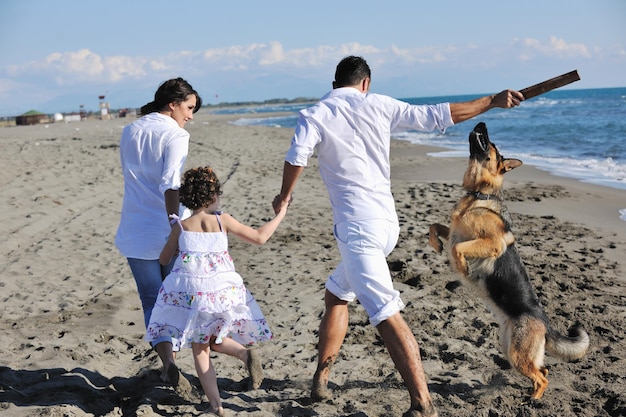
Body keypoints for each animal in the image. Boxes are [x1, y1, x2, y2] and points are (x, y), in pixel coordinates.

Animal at [426, 122, 588, 398]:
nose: (481, 123)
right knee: (543, 370)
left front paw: (462, 267)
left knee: (542, 378)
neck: (479, 195)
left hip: (517, 353)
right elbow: (435, 227)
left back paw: (533, 400)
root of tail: (543, 321)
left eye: (493, 145)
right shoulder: (455, 231)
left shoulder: (491, 244)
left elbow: (458, 248)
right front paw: (435, 243)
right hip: (511, 349)